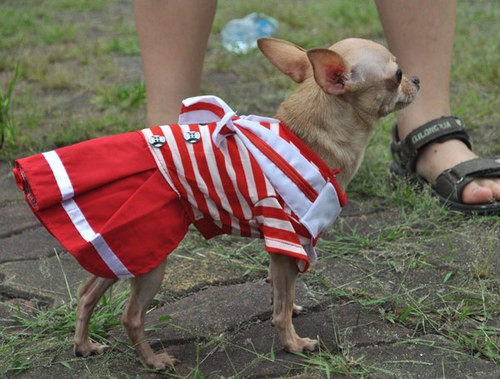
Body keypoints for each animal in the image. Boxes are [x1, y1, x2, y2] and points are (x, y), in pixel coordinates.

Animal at [12, 37, 418, 370]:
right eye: (396, 75)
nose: (416, 80)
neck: (306, 137)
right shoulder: (288, 238)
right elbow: (282, 307)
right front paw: (293, 343)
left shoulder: (279, 247)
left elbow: (279, 292)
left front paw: (287, 309)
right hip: (150, 257)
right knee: (131, 316)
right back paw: (153, 361)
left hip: (120, 248)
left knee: (85, 295)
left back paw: (84, 346)